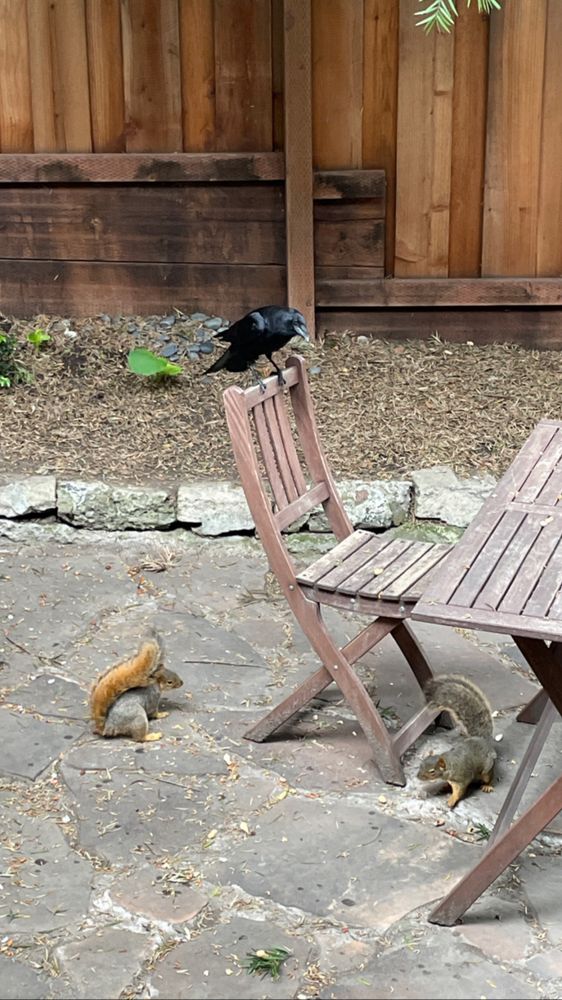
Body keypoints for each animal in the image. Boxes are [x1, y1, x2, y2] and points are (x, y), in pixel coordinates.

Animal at [417, 675, 496, 809]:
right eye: (421, 764)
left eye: (432, 772)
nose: (417, 776)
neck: (450, 764)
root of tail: (483, 739)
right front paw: (445, 787)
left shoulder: (461, 779)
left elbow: (459, 791)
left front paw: (451, 800)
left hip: (486, 769)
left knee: (489, 777)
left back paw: (488, 785)